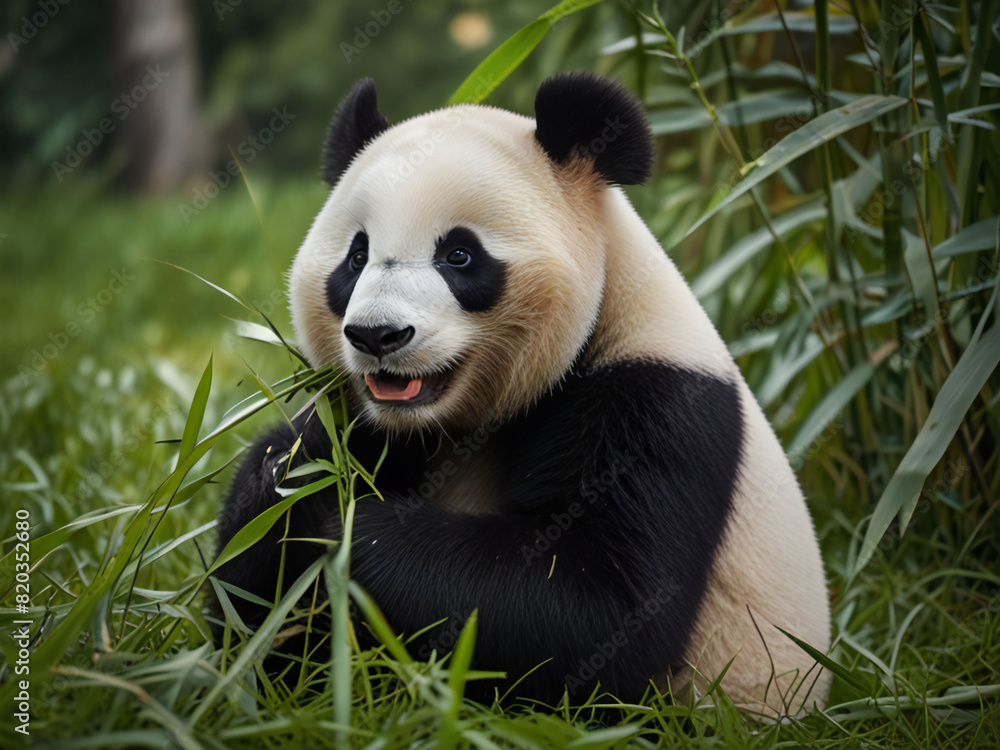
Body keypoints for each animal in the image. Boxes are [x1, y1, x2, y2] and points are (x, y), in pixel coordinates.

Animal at [211, 72, 831, 717]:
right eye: (356, 257)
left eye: (459, 254)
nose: (378, 335)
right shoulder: (374, 425)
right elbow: (254, 607)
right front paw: (284, 480)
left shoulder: (657, 400)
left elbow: (586, 611)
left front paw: (328, 513)